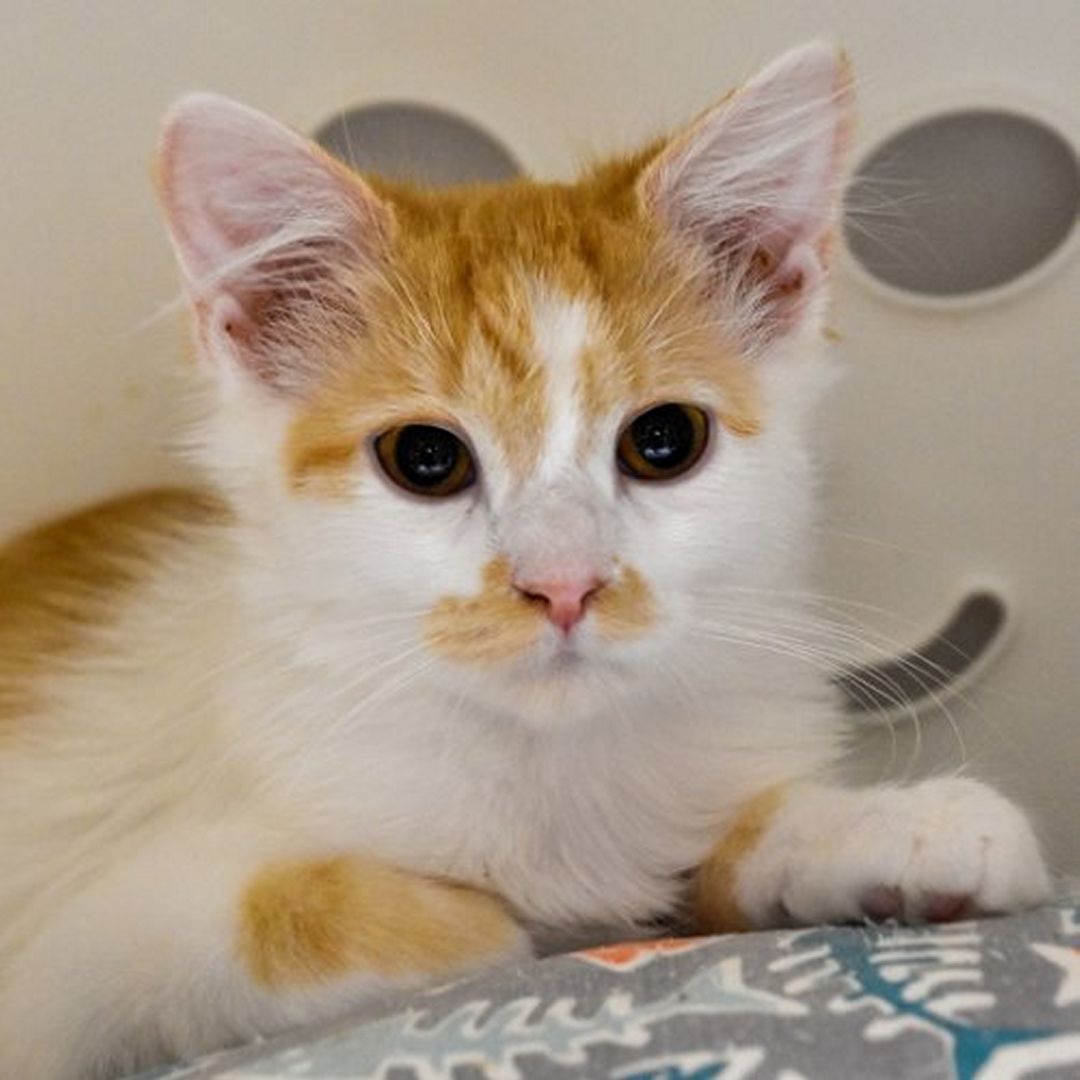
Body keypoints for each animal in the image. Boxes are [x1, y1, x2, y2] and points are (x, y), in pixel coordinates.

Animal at [0, 42, 1049, 1080]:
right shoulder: (71, 957)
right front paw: (511, 926)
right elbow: (323, 917)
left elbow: (718, 857)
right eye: (425, 458)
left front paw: (901, 827)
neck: (546, 765)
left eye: (664, 440)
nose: (564, 585)